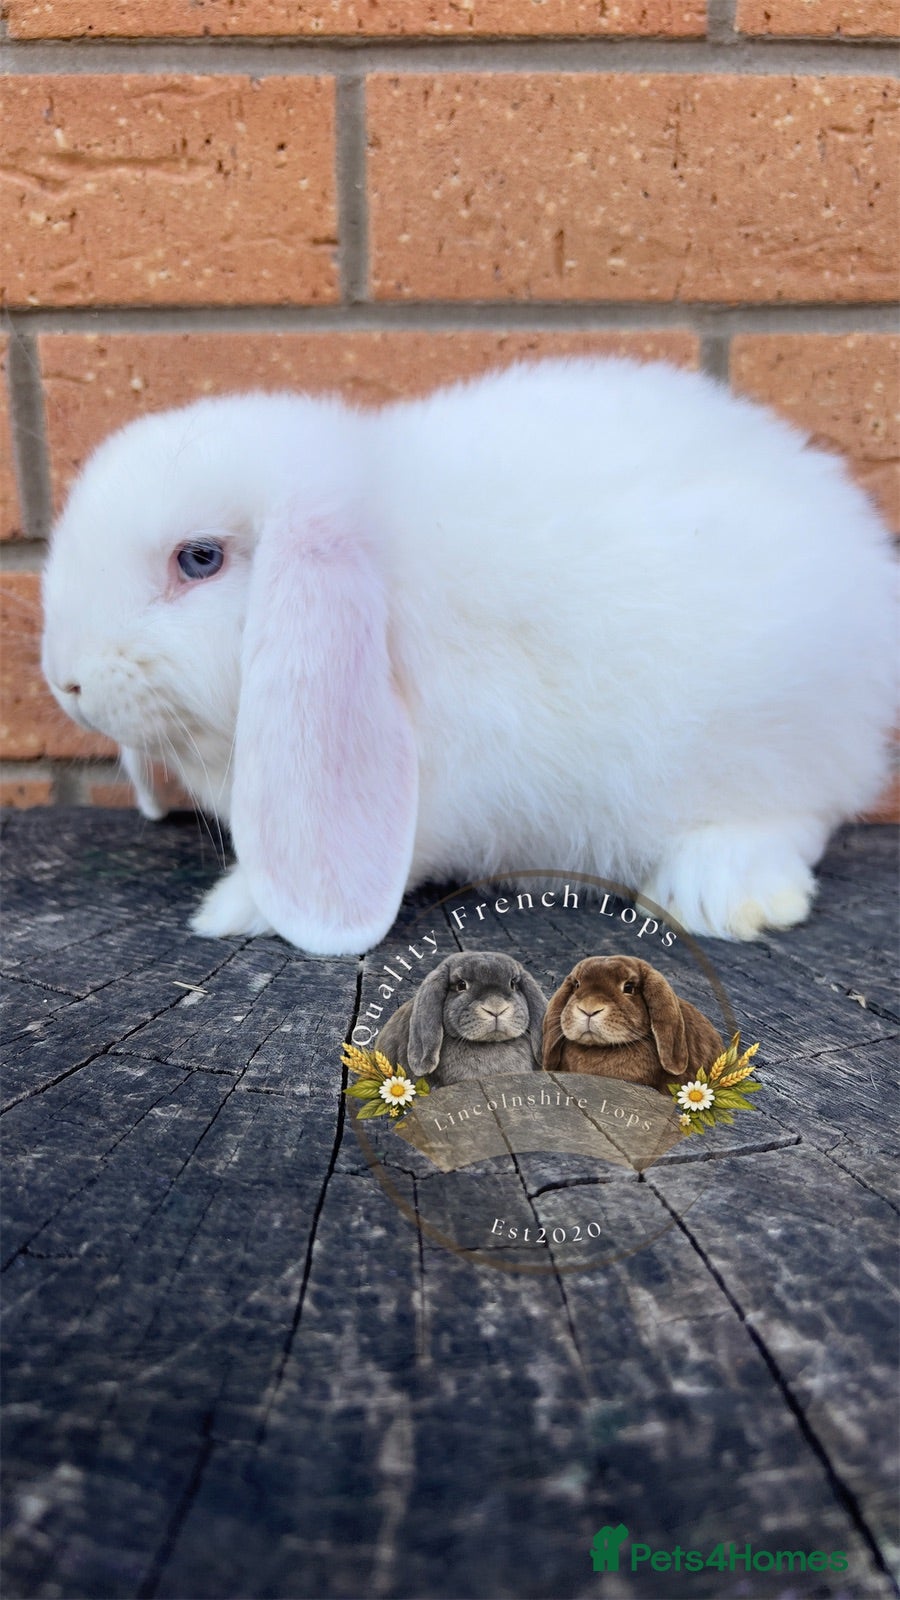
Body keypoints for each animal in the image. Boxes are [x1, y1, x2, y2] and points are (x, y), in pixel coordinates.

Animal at [40, 357, 897, 956]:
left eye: (200, 559)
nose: (65, 682)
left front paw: (238, 907)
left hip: (773, 732)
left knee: (802, 813)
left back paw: (721, 890)